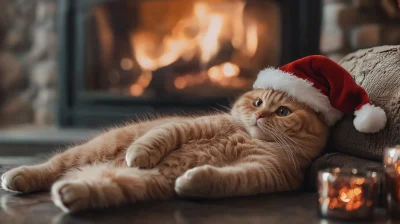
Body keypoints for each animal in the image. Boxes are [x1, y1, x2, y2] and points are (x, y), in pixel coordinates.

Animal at [0, 88, 328, 213]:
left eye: (283, 112)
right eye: (258, 102)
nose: (260, 115)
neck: (251, 138)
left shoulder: (261, 170)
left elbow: (225, 179)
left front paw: (192, 181)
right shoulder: (194, 126)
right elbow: (160, 137)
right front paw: (139, 155)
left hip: (130, 184)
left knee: (77, 186)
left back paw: (69, 193)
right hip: (96, 148)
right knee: (52, 167)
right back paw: (18, 176)